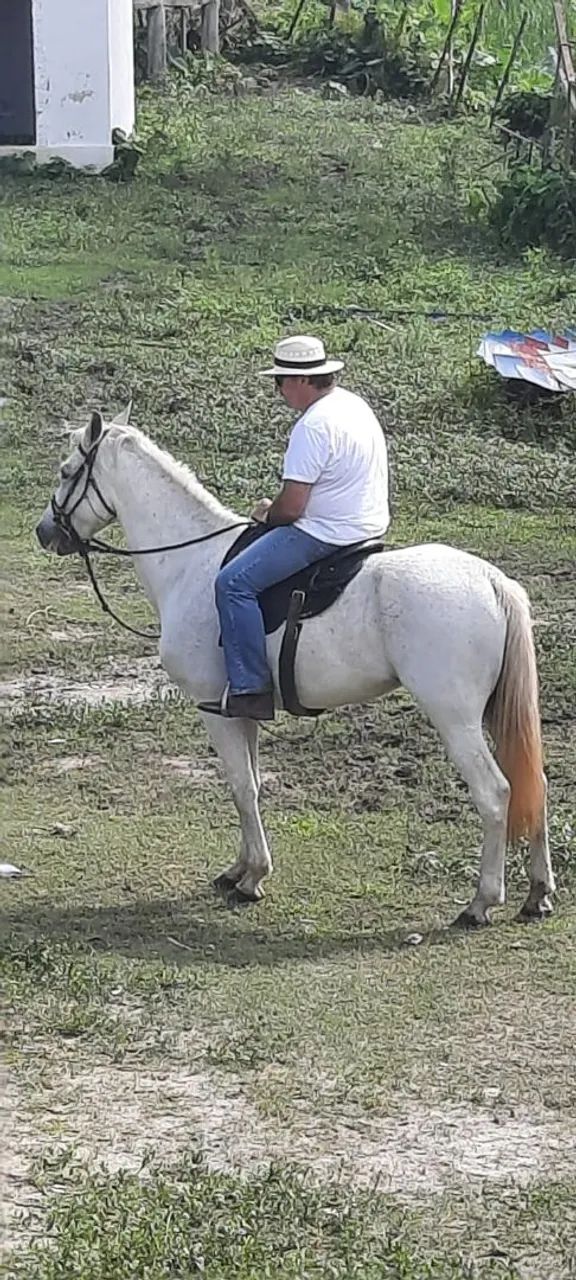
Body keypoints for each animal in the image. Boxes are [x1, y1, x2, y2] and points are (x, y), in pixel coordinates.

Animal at [35, 410, 555, 927]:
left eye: (66, 471)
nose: (45, 531)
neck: (191, 563)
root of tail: (492, 580)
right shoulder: (241, 710)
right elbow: (251, 786)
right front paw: (239, 868)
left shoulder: (212, 709)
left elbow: (241, 786)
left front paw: (253, 878)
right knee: (535, 786)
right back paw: (537, 893)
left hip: (455, 719)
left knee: (495, 794)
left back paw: (481, 902)